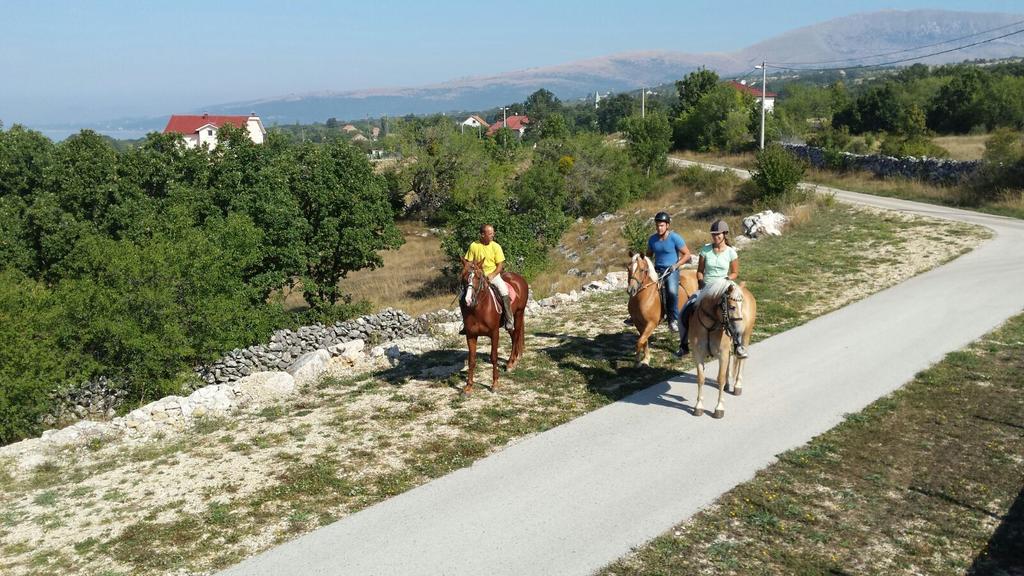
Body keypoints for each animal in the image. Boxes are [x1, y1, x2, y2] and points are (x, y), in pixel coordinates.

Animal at [462, 258, 532, 391]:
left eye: (478, 277)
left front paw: (495, 383)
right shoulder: (471, 335)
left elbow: (494, 357)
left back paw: (511, 363)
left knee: (516, 335)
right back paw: (515, 358)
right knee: (513, 335)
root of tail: (519, 278)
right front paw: (469, 386)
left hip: (519, 314)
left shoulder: (494, 333)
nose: (468, 300)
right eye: (463, 277)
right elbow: (471, 360)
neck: (478, 309)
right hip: (509, 321)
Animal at [684, 278, 757, 416]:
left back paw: (737, 386)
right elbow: (700, 378)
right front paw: (699, 406)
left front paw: (719, 408)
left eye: (742, 305)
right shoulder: (698, 354)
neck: (710, 326)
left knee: (741, 361)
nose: (738, 332)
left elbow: (720, 379)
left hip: (746, 336)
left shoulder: (722, 354)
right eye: (732, 307)